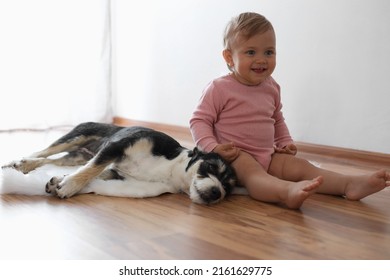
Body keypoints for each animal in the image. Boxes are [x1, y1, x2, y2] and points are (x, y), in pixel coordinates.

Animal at [2, 122, 241, 203]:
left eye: (228, 188)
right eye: (211, 166)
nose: (217, 193)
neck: (172, 169)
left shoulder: (115, 171)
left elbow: (92, 172)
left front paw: (61, 181)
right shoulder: (116, 147)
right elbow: (91, 170)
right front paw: (69, 186)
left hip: (76, 155)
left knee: (52, 160)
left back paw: (26, 165)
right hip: (77, 136)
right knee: (44, 151)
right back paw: (18, 162)